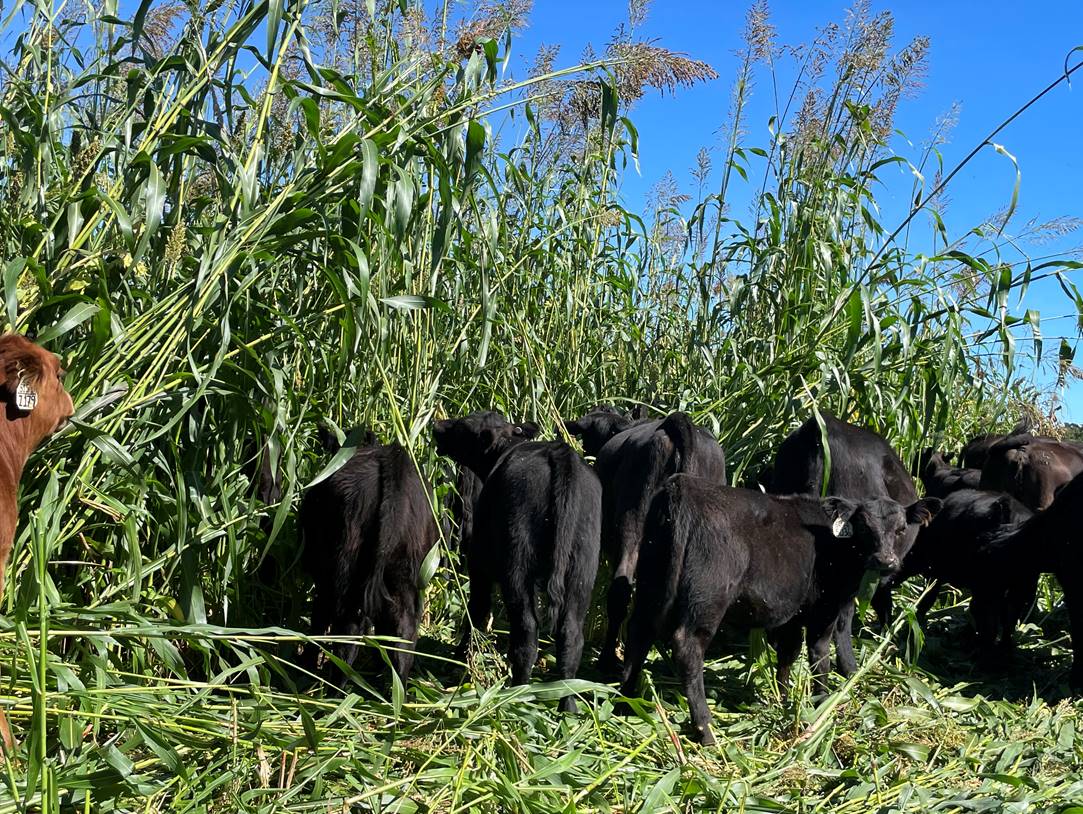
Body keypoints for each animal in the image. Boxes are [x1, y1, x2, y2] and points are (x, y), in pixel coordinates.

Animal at [433, 411, 600, 712]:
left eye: (462, 427)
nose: (436, 425)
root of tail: (560, 456)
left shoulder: (479, 562)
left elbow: (477, 611)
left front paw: (461, 656)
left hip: (517, 567)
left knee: (526, 631)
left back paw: (517, 694)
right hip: (582, 571)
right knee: (571, 637)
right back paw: (567, 704)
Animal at [619, 474, 939, 745]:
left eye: (900, 529)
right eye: (863, 527)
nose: (885, 560)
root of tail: (684, 485)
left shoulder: (792, 613)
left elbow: (788, 653)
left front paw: (783, 701)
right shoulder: (825, 610)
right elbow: (819, 655)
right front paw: (821, 704)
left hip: (650, 584)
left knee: (637, 633)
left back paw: (625, 700)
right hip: (706, 600)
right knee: (687, 648)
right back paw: (706, 730)